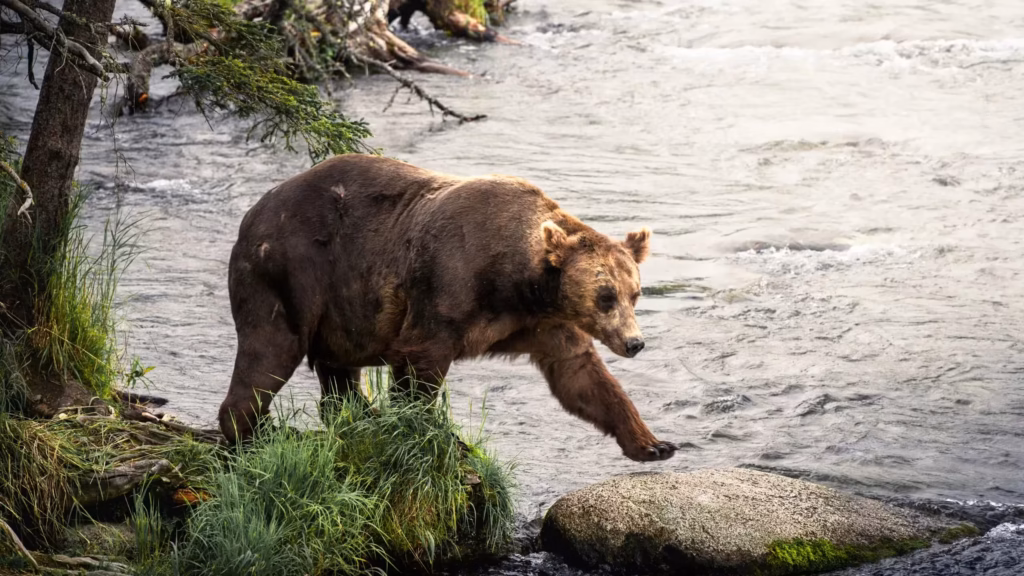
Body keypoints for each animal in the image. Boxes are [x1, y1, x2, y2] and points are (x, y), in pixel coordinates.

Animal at [219, 154, 677, 462]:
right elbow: (420, 364)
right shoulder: (445, 288)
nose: (634, 343)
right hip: (291, 271)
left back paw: (356, 415)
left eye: (635, 293)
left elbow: (582, 377)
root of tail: (251, 214)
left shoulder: (544, 323)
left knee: (338, 372)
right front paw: (435, 437)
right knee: (270, 350)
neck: (516, 282)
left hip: (341, 307)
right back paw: (252, 434)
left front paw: (653, 443)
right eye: (606, 296)